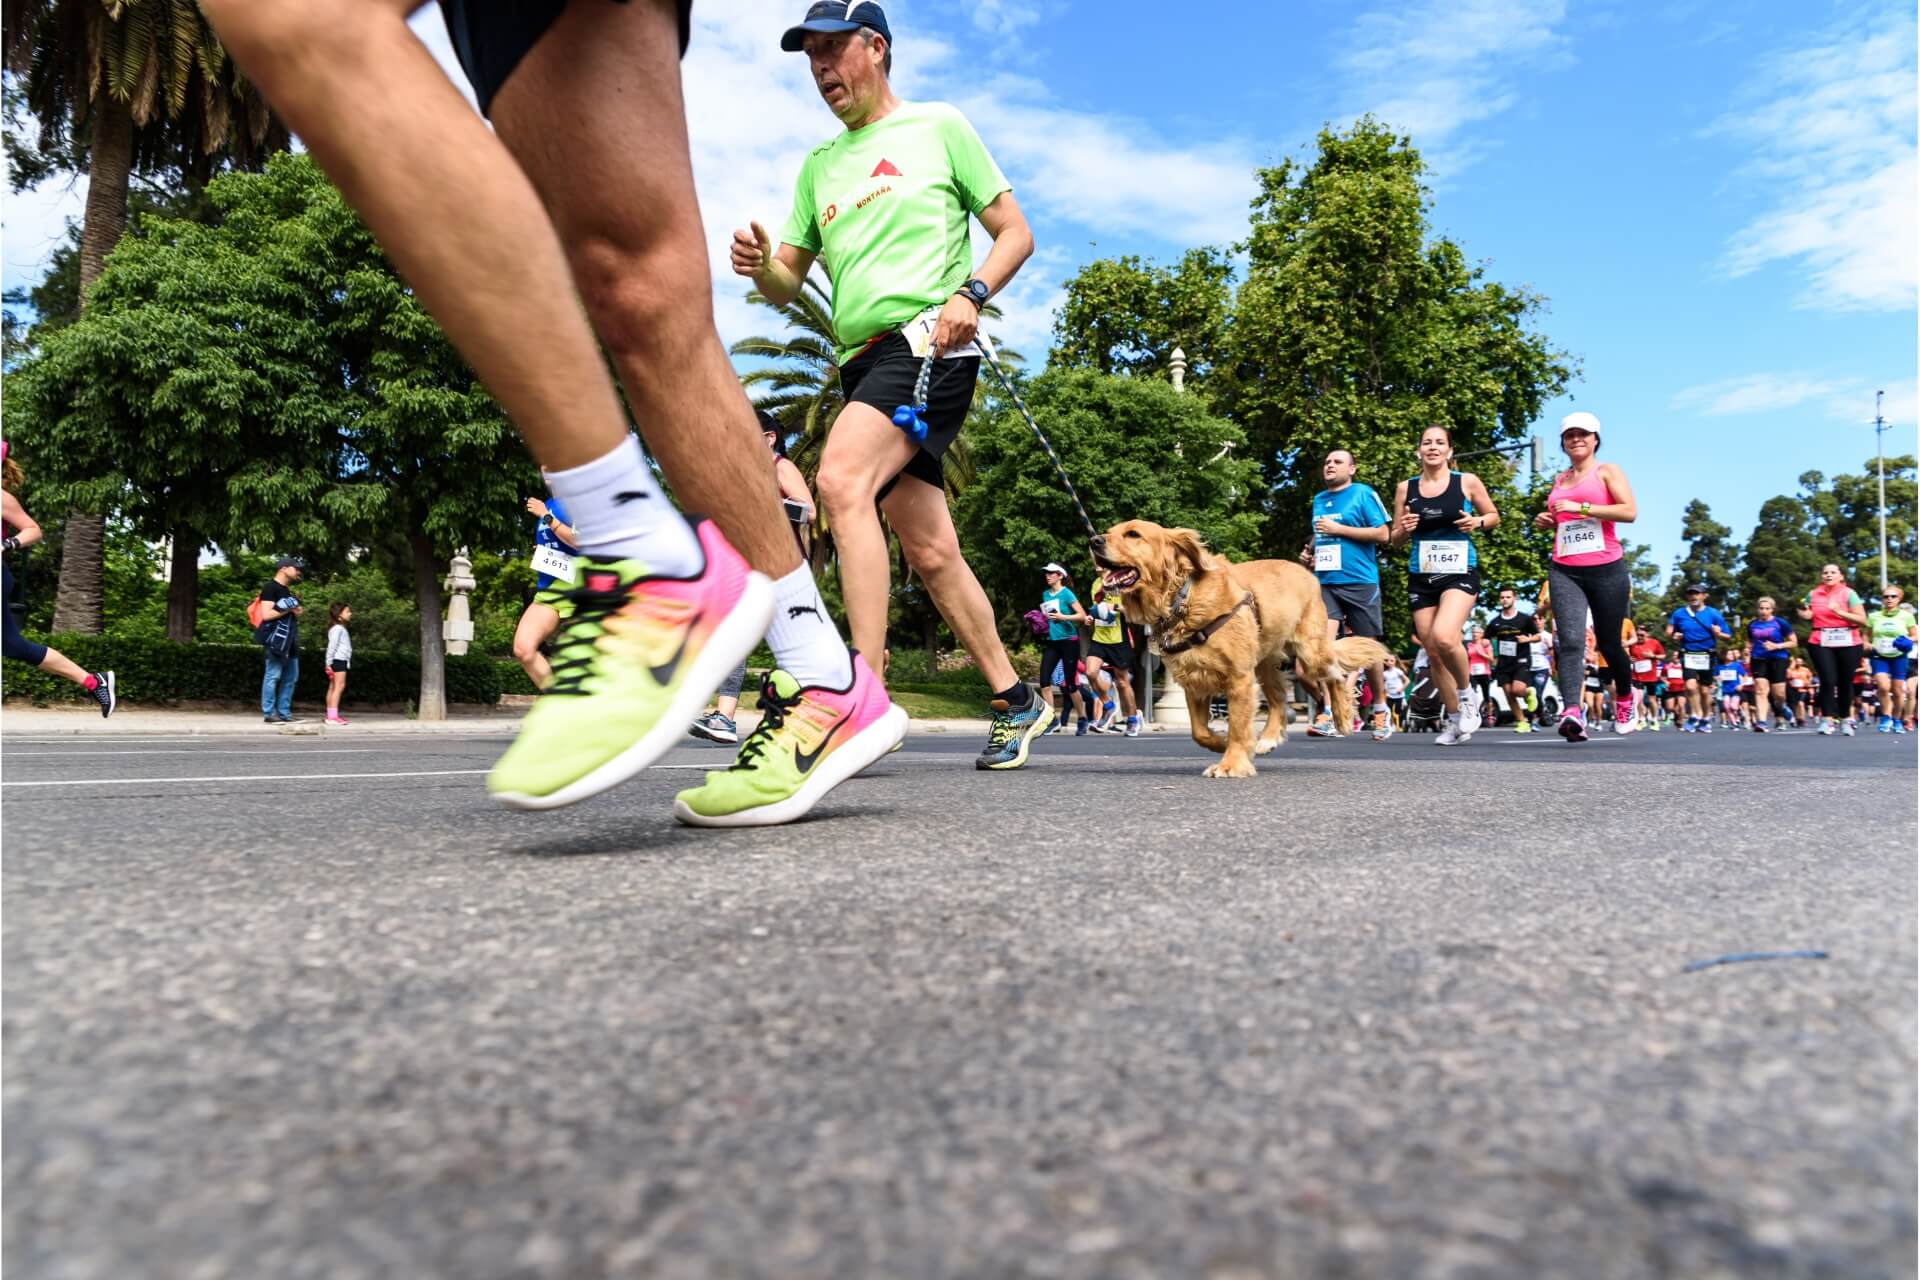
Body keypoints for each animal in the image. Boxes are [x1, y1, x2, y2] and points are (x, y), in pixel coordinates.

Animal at [1090, 521, 1390, 782]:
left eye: (1133, 534)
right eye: (1110, 531)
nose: (1094, 540)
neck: (1182, 601)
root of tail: (1306, 570)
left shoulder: (1238, 678)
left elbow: (1236, 724)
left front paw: (1231, 763)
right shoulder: (1195, 680)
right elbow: (1199, 732)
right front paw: (1223, 743)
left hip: (1310, 651)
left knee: (1335, 675)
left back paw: (1341, 717)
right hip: (1265, 663)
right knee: (1279, 698)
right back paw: (1267, 738)